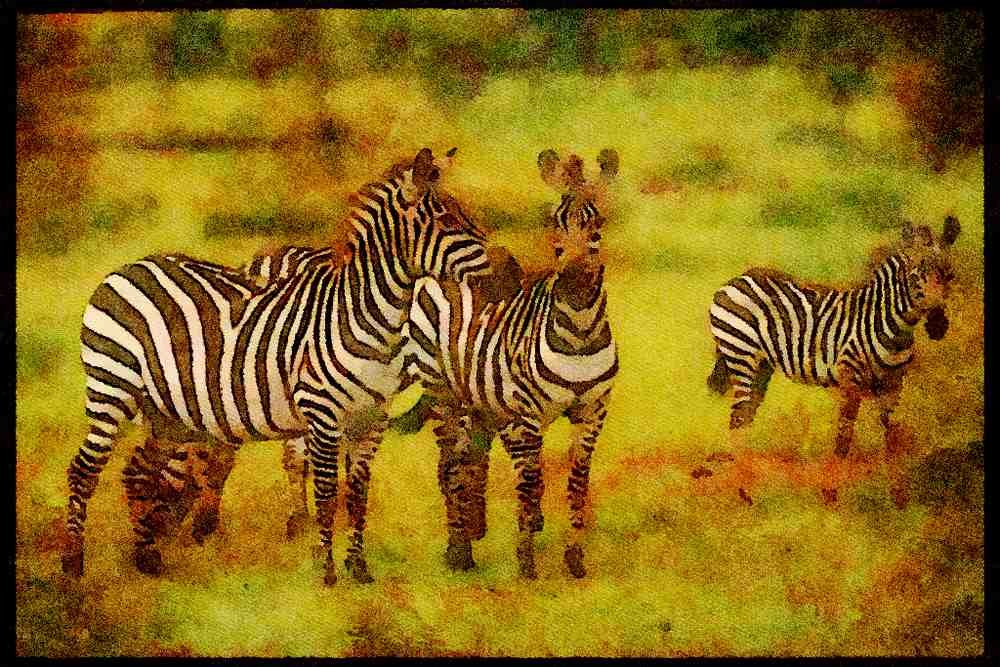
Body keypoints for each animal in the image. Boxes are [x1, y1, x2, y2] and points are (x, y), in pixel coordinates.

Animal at [64, 147, 494, 586]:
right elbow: (327, 491)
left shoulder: (371, 418)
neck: (367, 317)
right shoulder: (322, 413)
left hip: (166, 411)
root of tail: (130, 266)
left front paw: (358, 567)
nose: (497, 274)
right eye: (448, 221)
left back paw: (147, 556)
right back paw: (74, 563)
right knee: (84, 469)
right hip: (112, 388)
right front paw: (325, 570)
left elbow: (357, 495)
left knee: (139, 469)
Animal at [403, 149, 620, 579]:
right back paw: (458, 549)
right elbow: (529, 482)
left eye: (597, 224)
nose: (572, 282)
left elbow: (577, 482)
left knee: (473, 457)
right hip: (442, 389)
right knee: (450, 463)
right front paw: (526, 563)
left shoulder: (592, 412)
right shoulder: (528, 414)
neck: (579, 336)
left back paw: (476, 530)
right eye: (555, 222)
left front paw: (574, 558)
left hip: (483, 397)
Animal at [707, 215, 960, 498]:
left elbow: (891, 437)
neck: (893, 325)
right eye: (915, 276)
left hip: (762, 365)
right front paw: (832, 494)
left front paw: (897, 494)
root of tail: (738, 278)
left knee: (747, 413)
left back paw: (749, 482)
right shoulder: (851, 376)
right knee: (738, 416)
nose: (938, 326)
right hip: (741, 354)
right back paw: (742, 490)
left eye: (949, 275)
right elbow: (843, 438)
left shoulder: (894, 384)